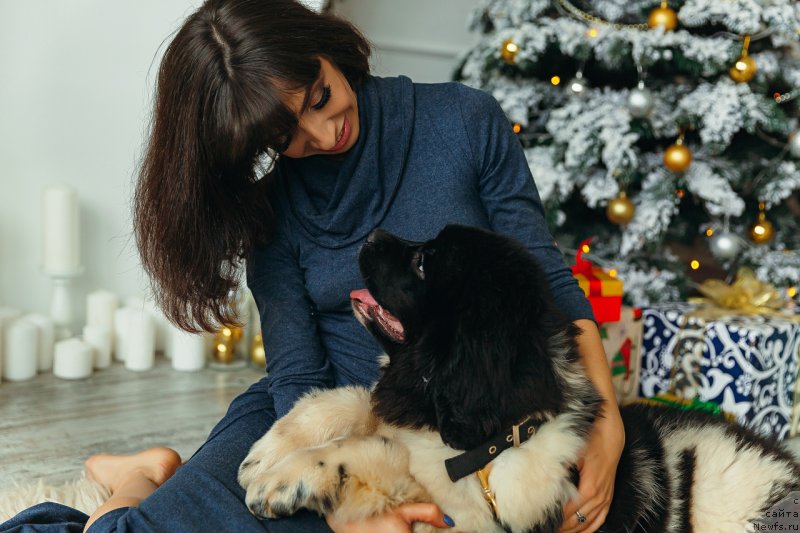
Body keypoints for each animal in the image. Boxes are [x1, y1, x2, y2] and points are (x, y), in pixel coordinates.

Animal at [238, 222, 800, 528]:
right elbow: (354, 402)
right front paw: (268, 453)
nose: (372, 233)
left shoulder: (474, 517)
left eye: (423, 263)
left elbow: (371, 456)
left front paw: (280, 482)